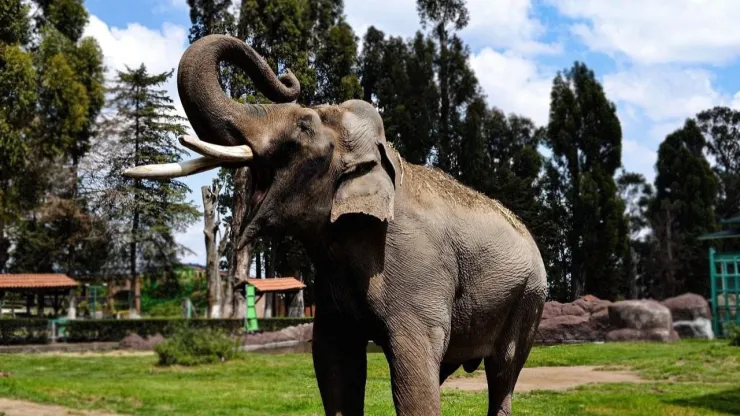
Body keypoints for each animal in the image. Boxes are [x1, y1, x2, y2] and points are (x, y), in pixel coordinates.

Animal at [125, 34, 548, 416]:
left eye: (303, 126)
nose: (288, 74)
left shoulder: (418, 270)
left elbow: (413, 366)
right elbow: (334, 362)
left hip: (529, 299)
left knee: (503, 372)